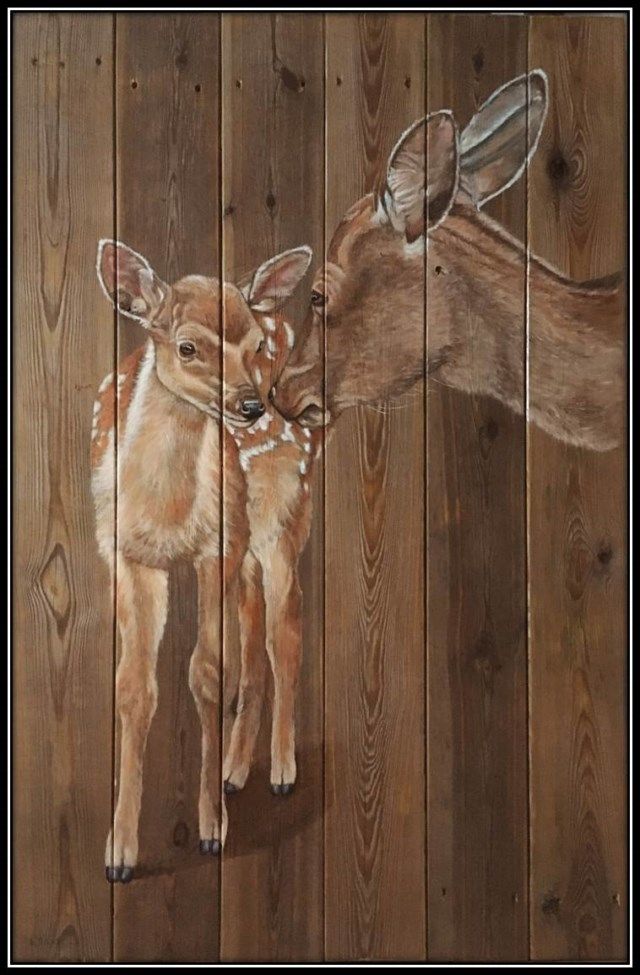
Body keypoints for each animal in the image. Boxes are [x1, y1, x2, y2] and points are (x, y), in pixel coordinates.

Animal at [92, 240, 320, 883]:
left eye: (254, 346)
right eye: (188, 346)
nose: (250, 405)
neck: (165, 510)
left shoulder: (215, 549)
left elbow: (207, 673)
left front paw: (211, 829)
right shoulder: (125, 555)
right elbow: (133, 687)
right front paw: (119, 851)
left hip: (282, 518)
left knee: (285, 629)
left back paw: (280, 770)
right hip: (247, 549)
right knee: (255, 637)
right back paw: (235, 770)